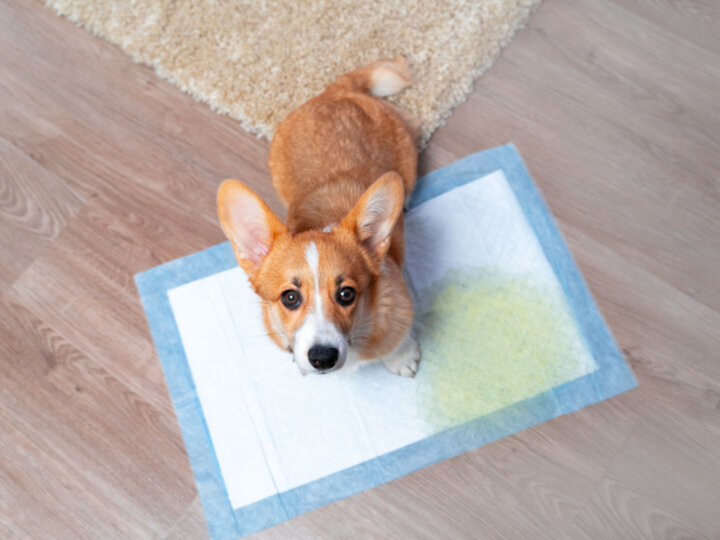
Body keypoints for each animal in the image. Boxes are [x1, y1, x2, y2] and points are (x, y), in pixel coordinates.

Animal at [217, 58, 420, 376]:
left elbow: (398, 343)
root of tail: (332, 92)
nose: (322, 357)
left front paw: (403, 359)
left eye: (346, 294)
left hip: (407, 154)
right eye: (290, 298)